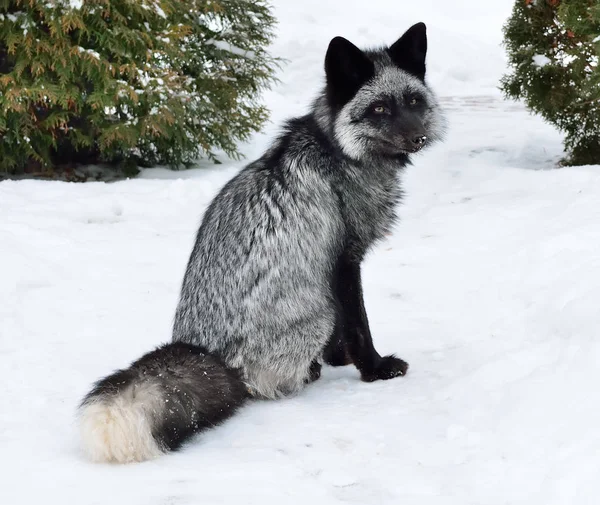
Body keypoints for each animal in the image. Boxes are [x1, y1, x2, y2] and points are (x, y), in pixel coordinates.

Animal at [77, 23, 446, 464]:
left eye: (413, 101)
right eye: (378, 110)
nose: (419, 137)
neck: (338, 153)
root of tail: (212, 354)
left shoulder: (331, 267)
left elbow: (345, 331)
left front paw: (336, 358)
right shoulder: (343, 260)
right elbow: (358, 325)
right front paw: (373, 369)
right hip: (316, 310)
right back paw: (305, 374)